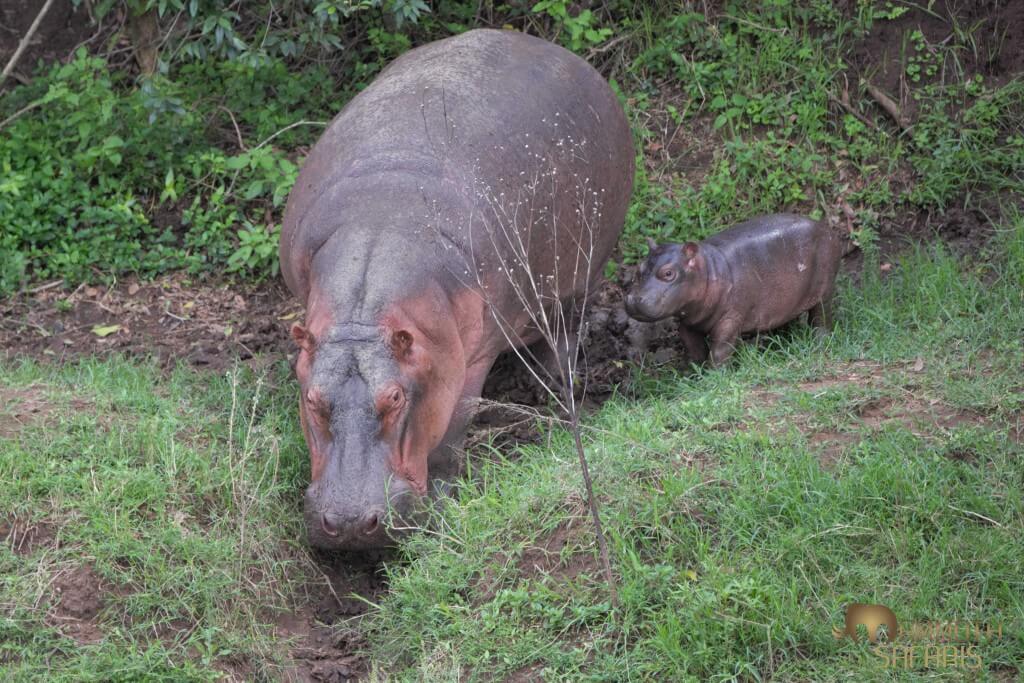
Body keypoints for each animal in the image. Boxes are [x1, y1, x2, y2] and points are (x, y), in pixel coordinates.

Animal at [279, 29, 633, 549]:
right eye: (311, 399)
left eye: (395, 398)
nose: (347, 524)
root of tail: (561, 53)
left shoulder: (469, 357)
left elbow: (452, 431)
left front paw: (446, 499)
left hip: (585, 272)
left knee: (566, 332)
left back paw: (553, 389)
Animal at [625, 214, 849, 367]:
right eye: (638, 269)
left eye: (668, 273)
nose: (633, 299)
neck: (709, 268)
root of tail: (827, 229)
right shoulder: (688, 322)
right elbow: (692, 347)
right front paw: (693, 373)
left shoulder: (731, 317)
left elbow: (720, 349)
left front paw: (713, 376)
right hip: (787, 300)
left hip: (824, 289)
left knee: (821, 317)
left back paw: (820, 342)